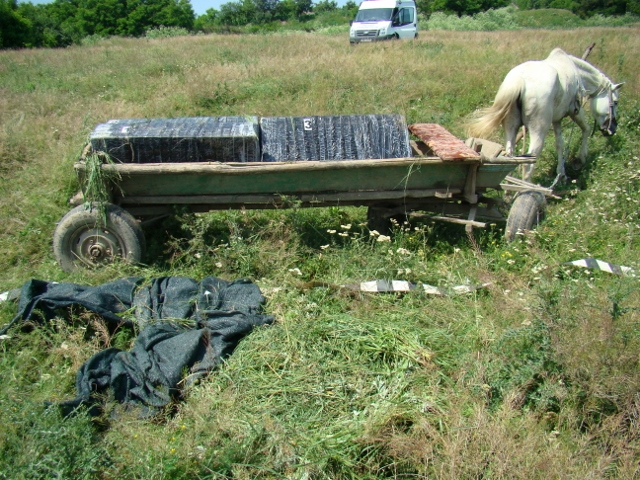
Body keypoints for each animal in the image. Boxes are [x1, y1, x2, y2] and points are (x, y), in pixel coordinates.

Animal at [468, 47, 624, 186]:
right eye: (616, 102)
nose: (612, 129)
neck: (576, 74)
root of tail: (519, 81)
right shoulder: (575, 111)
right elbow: (586, 129)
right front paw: (579, 160)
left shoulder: (557, 120)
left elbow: (559, 144)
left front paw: (561, 174)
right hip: (538, 131)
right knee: (528, 163)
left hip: (511, 127)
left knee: (510, 156)